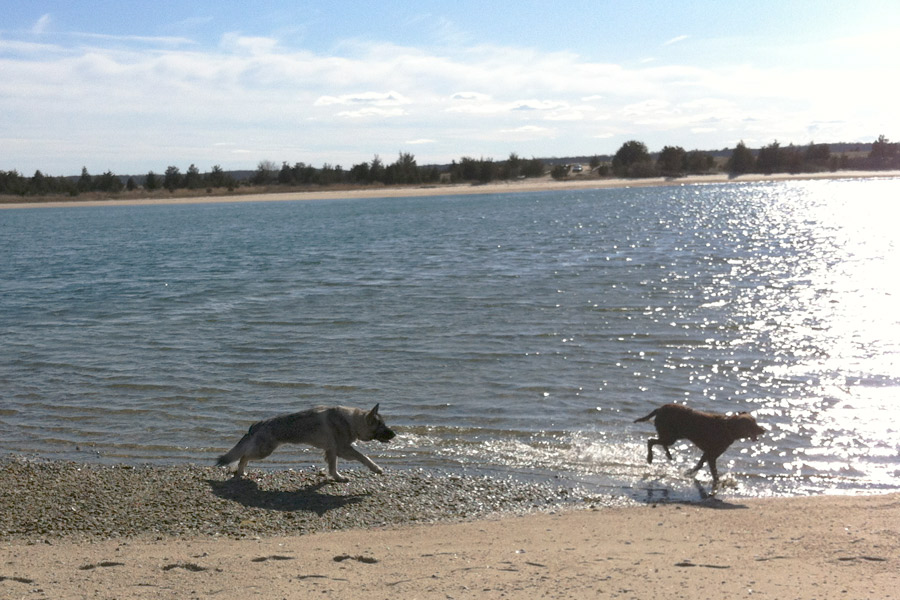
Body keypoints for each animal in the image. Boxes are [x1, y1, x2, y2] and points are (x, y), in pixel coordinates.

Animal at [632, 404, 768, 488]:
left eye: (755, 422)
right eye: (752, 424)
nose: (764, 430)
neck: (728, 428)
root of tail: (659, 409)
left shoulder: (708, 453)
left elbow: (700, 464)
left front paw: (689, 472)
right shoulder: (712, 455)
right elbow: (714, 472)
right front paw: (718, 482)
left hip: (673, 435)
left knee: (660, 442)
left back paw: (668, 455)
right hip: (670, 435)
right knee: (651, 441)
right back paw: (650, 458)